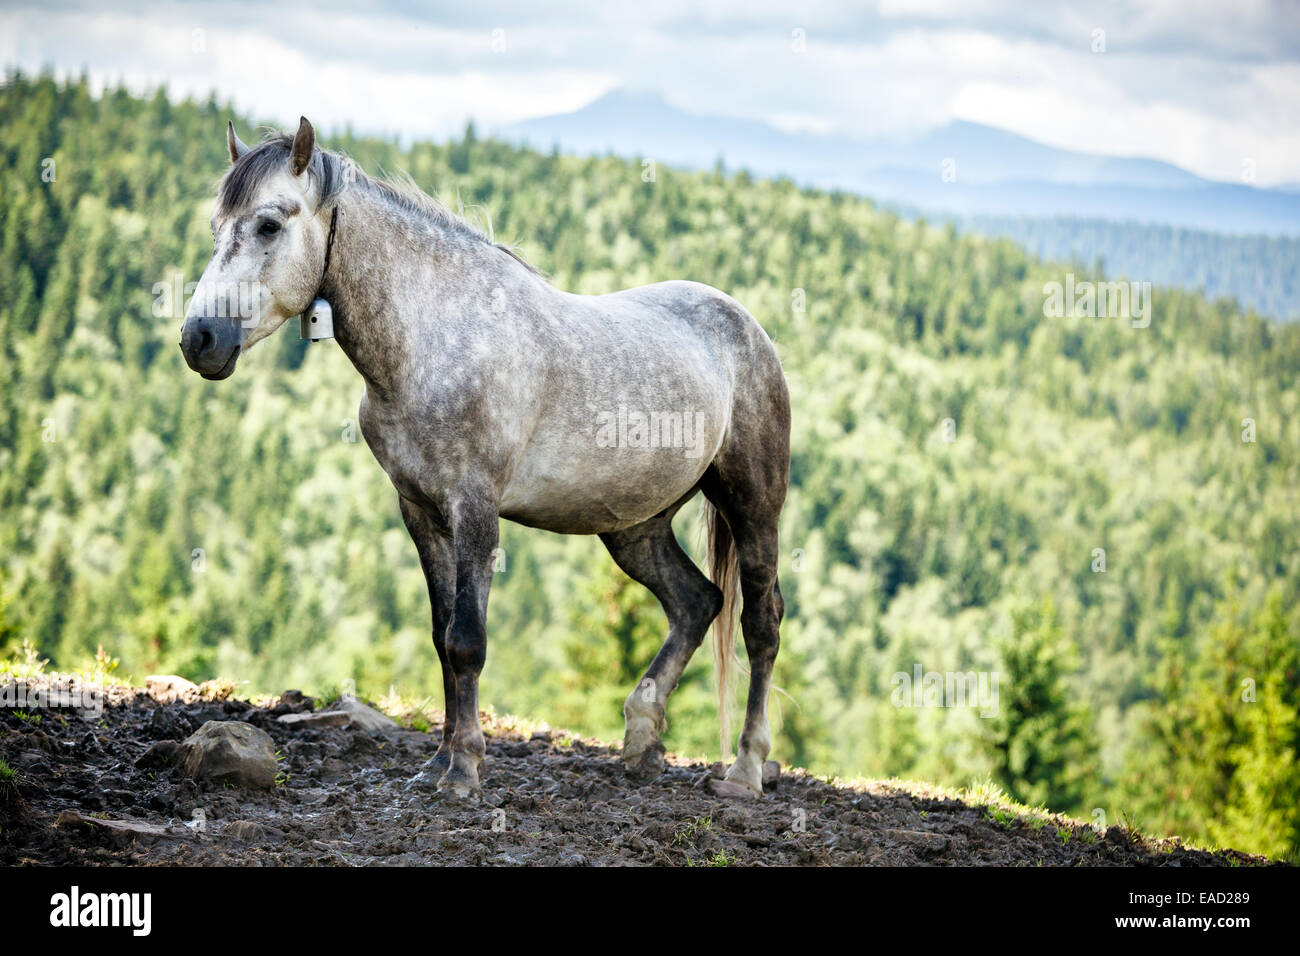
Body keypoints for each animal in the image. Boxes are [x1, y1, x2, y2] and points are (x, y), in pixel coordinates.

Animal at [180, 123, 790, 806]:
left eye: (268, 224)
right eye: (216, 225)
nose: (199, 340)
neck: (434, 339)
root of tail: (748, 328)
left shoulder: (474, 507)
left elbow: (467, 640)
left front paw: (465, 769)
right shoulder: (420, 511)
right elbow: (442, 636)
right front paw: (438, 763)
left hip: (753, 502)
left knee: (760, 622)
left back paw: (745, 769)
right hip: (636, 527)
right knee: (695, 603)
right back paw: (640, 742)